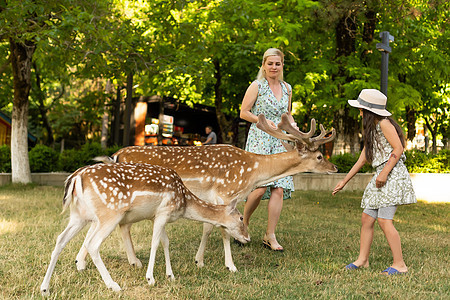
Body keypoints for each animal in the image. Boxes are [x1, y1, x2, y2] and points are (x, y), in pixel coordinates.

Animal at [40, 163, 248, 294]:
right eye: (241, 217)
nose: (248, 238)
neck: (183, 202)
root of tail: (76, 178)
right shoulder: (163, 212)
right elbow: (155, 243)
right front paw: (150, 279)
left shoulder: (157, 216)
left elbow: (165, 242)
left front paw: (170, 275)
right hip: (110, 213)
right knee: (93, 244)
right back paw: (113, 285)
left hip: (79, 215)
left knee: (60, 239)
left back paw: (44, 288)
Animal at [79, 112, 336, 272]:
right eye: (319, 156)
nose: (334, 168)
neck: (253, 172)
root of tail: (115, 155)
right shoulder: (226, 192)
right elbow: (223, 229)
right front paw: (230, 265)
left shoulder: (214, 199)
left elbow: (208, 226)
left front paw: (199, 261)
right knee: (122, 225)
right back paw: (132, 262)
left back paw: (86, 261)